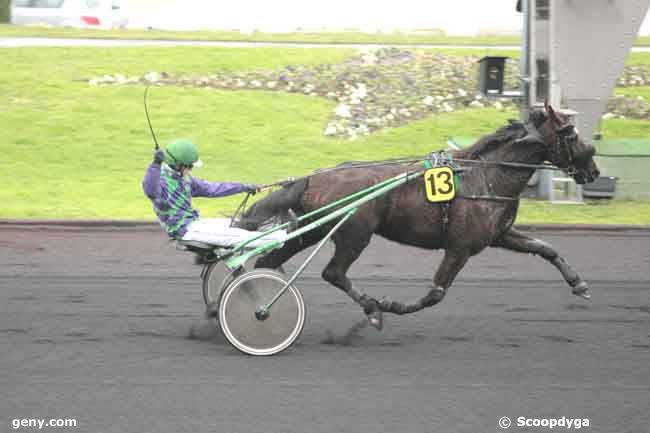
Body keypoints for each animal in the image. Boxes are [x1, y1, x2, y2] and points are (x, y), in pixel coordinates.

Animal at [235, 104, 600, 328]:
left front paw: (579, 284)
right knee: (333, 273)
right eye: (570, 133)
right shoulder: (460, 247)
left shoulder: (499, 235)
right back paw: (371, 308)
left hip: (313, 229)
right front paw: (392, 305)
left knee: (269, 261)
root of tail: (315, 176)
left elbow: (545, 247)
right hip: (355, 234)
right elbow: (435, 293)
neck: (487, 176)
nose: (593, 170)